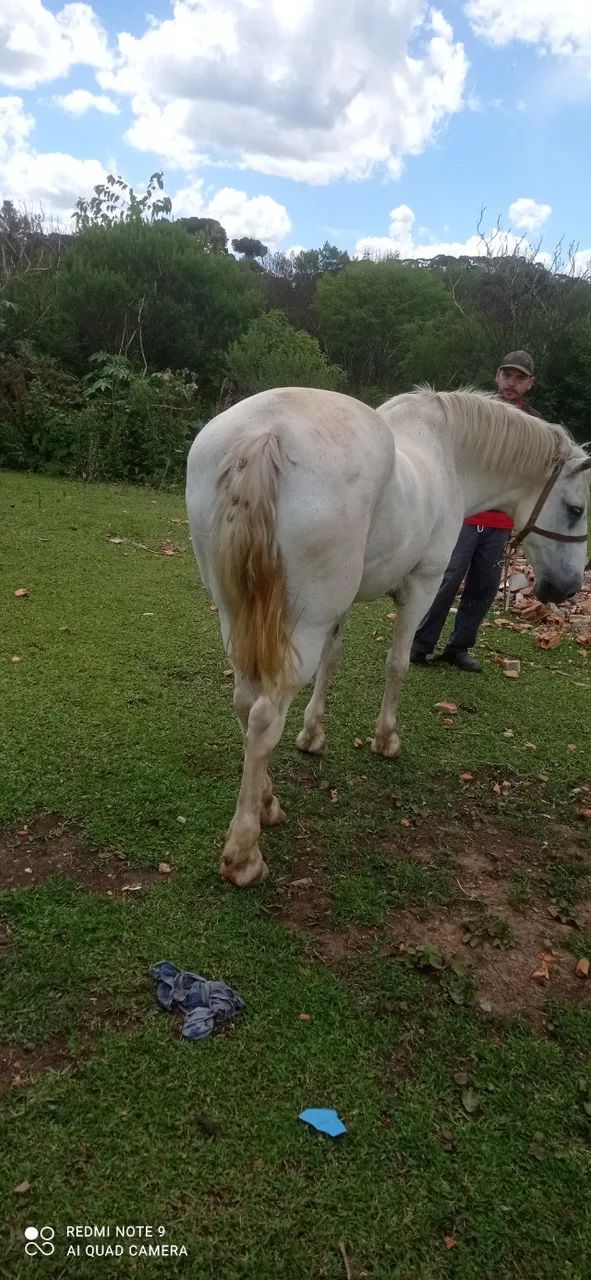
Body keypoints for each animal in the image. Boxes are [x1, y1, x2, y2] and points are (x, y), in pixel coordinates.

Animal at [186, 386, 590, 887]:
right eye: (576, 509)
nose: (566, 588)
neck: (447, 451)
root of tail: (265, 432)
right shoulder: (423, 585)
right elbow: (397, 663)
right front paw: (385, 739)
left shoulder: (341, 606)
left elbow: (333, 660)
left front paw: (313, 735)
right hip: (300, 624)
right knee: (262, 720)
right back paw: (244, 852)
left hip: (236, 613)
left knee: (244, 701)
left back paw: (267, 801)